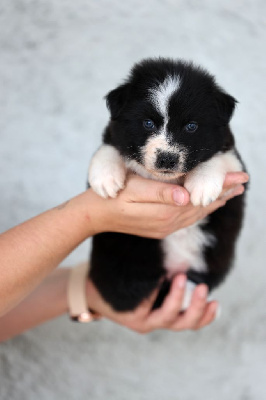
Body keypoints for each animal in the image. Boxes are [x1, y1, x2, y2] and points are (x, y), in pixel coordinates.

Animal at [88, 57, 246, 310]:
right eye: (148, 123)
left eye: (191, 126)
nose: (167, 158)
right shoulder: (116, 132)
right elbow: (110, 146)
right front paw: (105, 177)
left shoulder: (235, 163)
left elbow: (217, 158)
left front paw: (202, 185)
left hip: (214, 255)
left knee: (199, 278)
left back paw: (188, 297)